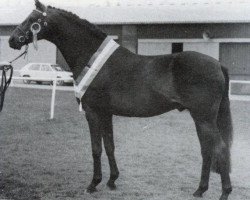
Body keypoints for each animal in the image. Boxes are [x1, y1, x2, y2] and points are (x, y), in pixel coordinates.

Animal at [8, 0, 233, 199]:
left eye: (32, 19)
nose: (12, 40)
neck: (91, 58)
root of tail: (218, 64)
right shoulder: (106, 113)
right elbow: (109, 146)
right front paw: (112, 181)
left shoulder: (92, 112)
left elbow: (96, 149)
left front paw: (93, 184)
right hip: (200, 118)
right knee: (207, 150)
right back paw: (200, 190)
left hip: (204, 118)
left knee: (220, 149)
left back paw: (224, 192)